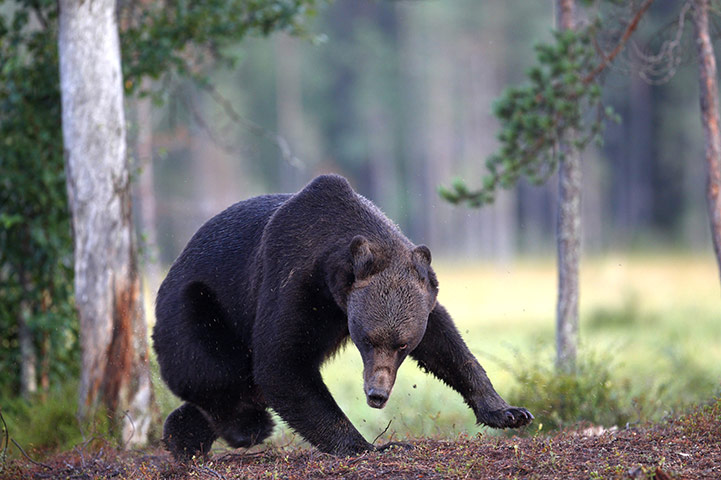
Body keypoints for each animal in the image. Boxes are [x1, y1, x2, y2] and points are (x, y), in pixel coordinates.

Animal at [152, 174, 532, 460]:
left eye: (403, 345)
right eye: (366, 339)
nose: (376, 394)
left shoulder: (416, 292)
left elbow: (445, 343)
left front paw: (509, 412)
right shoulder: (293, 281)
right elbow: (281, 362)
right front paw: (371, 445)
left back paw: (183, 436)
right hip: (193, 308)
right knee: (214, 369)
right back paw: (246, 427)